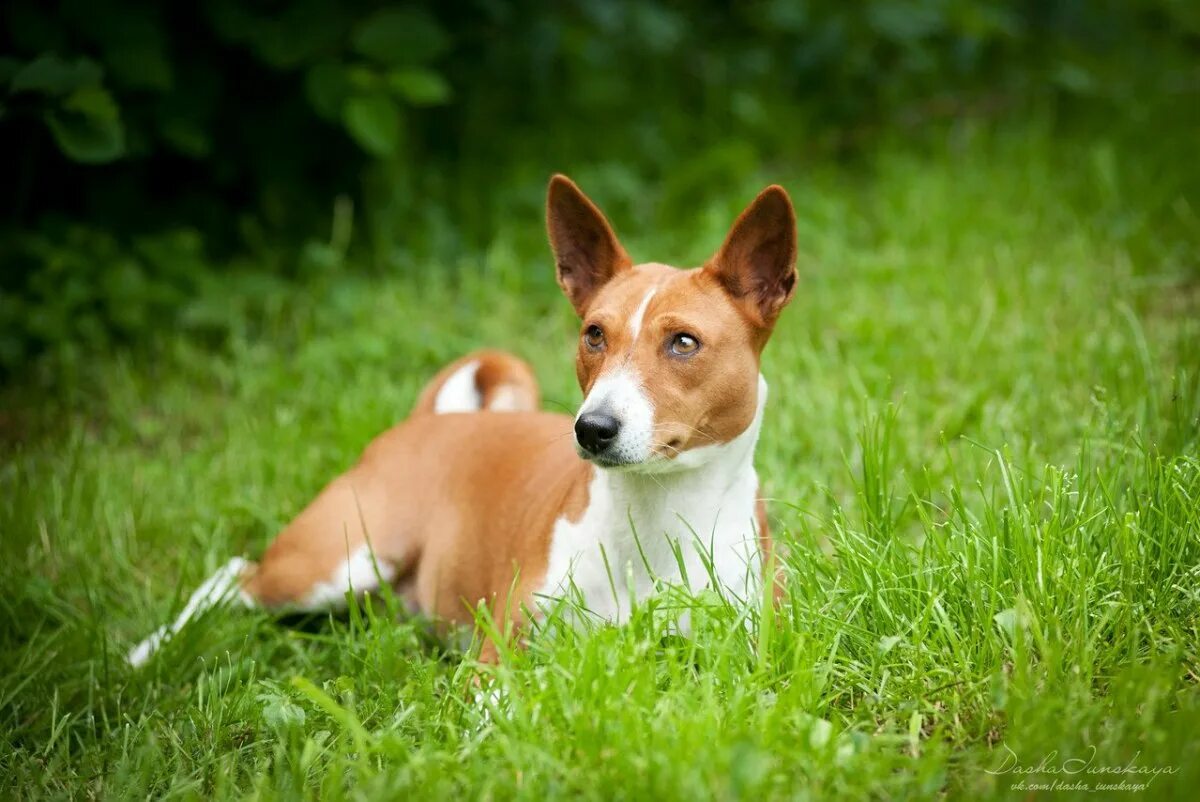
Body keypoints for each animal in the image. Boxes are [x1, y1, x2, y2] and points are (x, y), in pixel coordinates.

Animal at [129, 176, 796, 672]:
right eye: (594, 334)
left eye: (684, 342)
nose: (593, 428)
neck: (654, 520)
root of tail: (432, 421)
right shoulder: (501, 659)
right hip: (339, 558)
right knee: (232, 576)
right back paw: (145, 654)